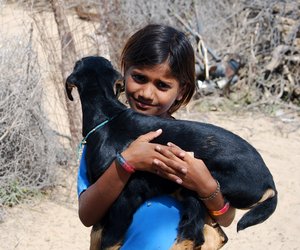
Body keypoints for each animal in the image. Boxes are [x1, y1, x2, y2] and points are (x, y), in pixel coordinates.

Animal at [67, 55, 278, 249]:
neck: (107, 115)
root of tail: (270, 183)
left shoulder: (125, 197)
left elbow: (108, 241)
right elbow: (96, 235)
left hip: (199, 183)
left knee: (193, 234)